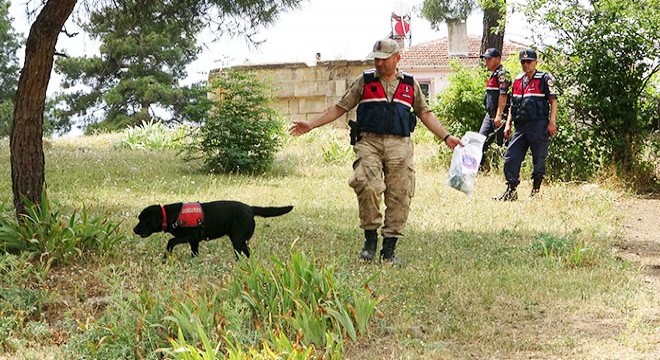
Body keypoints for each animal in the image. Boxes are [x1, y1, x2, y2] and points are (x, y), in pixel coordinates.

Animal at [133, 200, 292, 258]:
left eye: (142, 220)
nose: (134, 230)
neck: (170, 215)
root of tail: (251, 209)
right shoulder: (194, 242)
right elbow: (194, 253)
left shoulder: (191, 236)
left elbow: (171, 241)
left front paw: (166, 258)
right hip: (240, 241)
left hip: (238, 240)